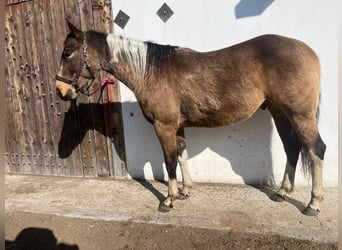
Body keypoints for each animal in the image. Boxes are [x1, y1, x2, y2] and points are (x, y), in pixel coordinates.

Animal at [55, 21, 326, 216]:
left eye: (67, 53)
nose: (60, 90)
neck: (150, 71)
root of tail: (310, 52)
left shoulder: (163, 126)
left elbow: (169, 161)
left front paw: (168, 200)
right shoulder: (177, 126)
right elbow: (181, 154)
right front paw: (185, 191)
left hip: (300, 115)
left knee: (316, 150)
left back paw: (313, 204)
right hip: (280, 113)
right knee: (292, 147)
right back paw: (282, 192)